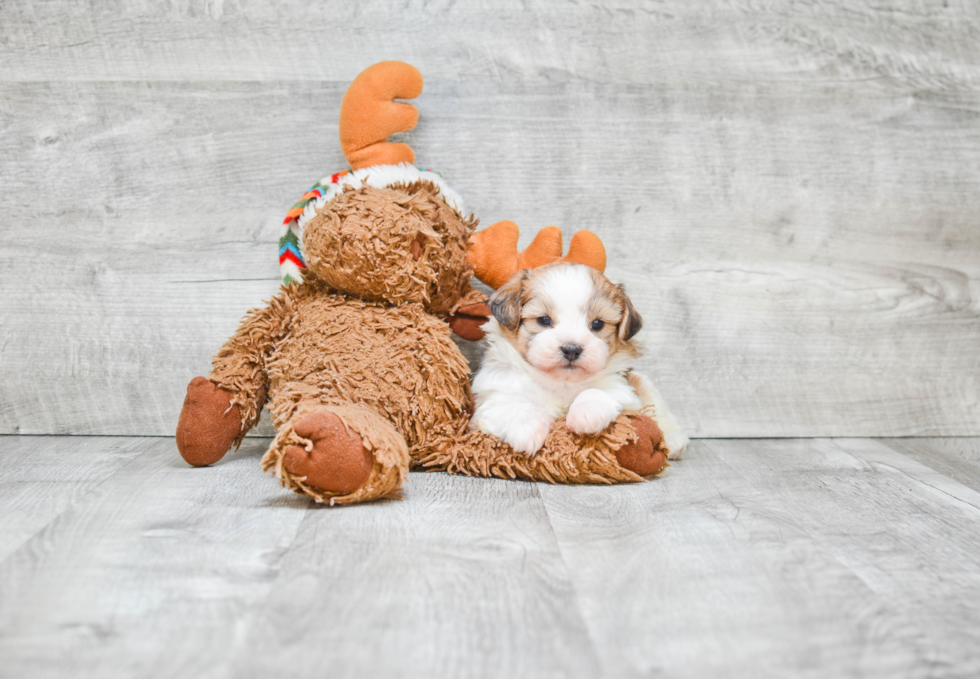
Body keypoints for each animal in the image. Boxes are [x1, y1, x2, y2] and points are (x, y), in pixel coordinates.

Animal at [468, 262, 684, 460]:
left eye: (597, 324)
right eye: (543, 320)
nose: (572, 349)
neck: (560, 382)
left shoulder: (625, 391)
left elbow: (599, 391)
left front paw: (586, 413)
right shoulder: (494, 396)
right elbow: (513, 405)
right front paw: (526, 429)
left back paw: (673, 442)